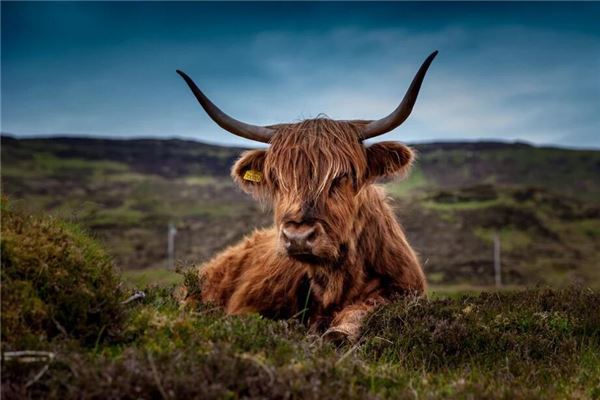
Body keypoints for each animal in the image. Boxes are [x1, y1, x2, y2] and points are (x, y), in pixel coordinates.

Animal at [176, 51, 438, 342]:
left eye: (342, 176)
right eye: (278, 179)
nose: (298, 236)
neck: (336, 280)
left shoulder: (403, 291)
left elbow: (365, 309)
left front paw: (339, 332)